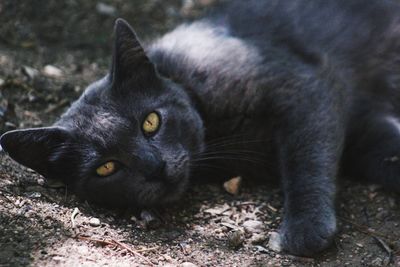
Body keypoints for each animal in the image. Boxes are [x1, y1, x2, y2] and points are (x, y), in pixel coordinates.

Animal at [0, 0, 400, 256]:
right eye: (106, 167)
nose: (156, 167)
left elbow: (306, 158)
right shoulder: (359, 121)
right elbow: (383, 151)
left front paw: (304, 230)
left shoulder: (304, 85)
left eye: (151, 121)